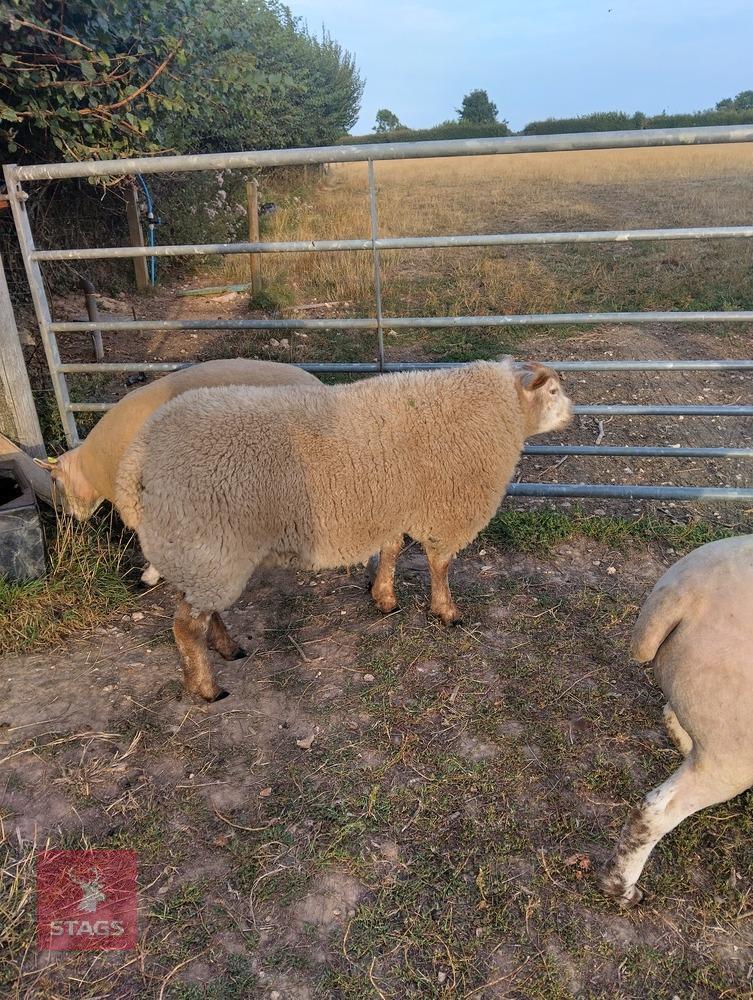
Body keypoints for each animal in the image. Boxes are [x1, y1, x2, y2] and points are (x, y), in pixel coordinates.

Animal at [116, 359, 572, 701]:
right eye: (552, 392)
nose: (572, 413)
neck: (502, 410)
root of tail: (135, 461)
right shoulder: (446, 509)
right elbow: (440, 564)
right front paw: (446, 612)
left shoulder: (394, 505)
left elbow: (391, 549)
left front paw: (384, 597)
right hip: (208, 545)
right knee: (186, 626)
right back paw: (206, 688)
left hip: (199, 551)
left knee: (199, 610)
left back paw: (227, 648)